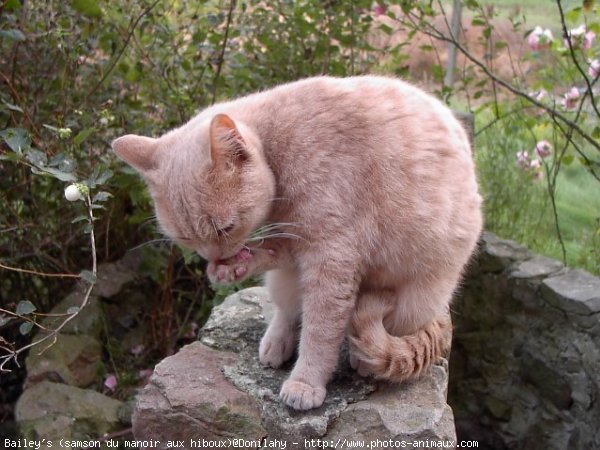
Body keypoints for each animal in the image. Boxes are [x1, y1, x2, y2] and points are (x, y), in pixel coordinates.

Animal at [112, 75, 482, 410]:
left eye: (224, 228)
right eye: (187, 238)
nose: (216, 257)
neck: (279, 146)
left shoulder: (331, 259)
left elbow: (320, 332)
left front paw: (305, 384)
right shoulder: (293, 243)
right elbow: (275, 260)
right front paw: (231, 270)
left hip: (412, 302)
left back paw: (360, 359)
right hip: (287, 281)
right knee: (287, 309)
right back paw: (276, 342)